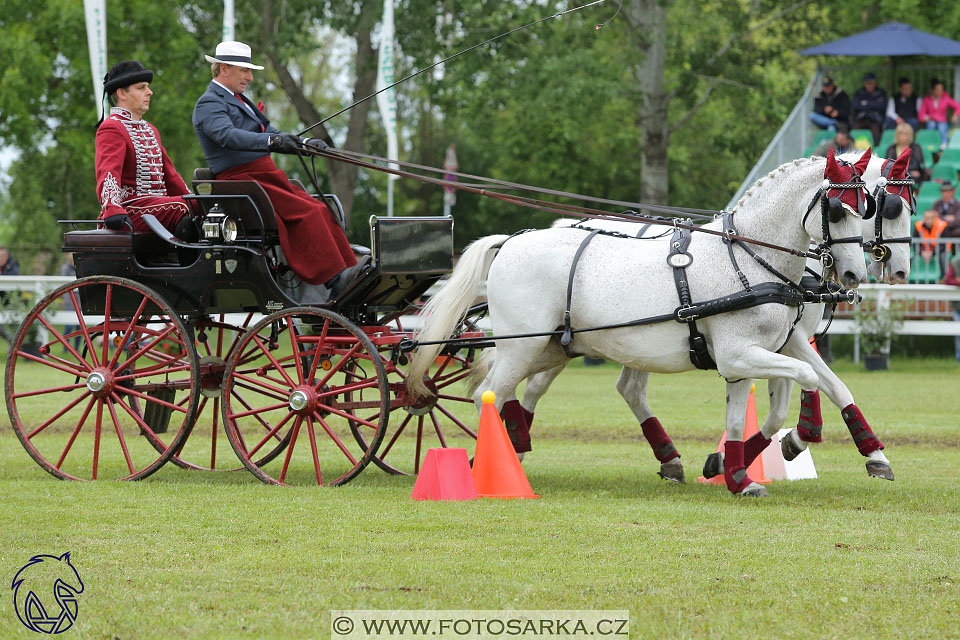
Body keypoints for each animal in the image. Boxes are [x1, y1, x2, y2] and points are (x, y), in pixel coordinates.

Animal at [408, 150, 872, 496]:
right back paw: (498, 461)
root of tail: (510, 241)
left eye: (866, 208)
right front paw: (801, 435)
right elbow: (806, 376)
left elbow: (744, 417)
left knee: (504, 391)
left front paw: (737, 475)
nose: (854, 274)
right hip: (523, 345)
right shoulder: (740, 355)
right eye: (837, 210)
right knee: (488, 392)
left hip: (550, 346)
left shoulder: (747, 358)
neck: (747, 258)